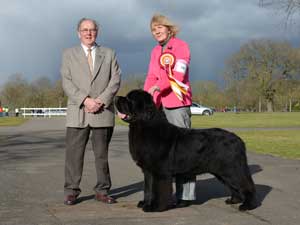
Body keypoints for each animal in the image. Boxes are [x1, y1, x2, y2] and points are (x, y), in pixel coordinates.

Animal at [115, 89, 258, 212]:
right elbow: (148, 189)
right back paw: (234, 200)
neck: (144, 126)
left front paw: (155, 207)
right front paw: (145, 203)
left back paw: (247, 205)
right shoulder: (148, 170)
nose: (116, 98)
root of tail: (239, 140)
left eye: (130, 99)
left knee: (246, 185)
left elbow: (159, 190)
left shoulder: (160, 172)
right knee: (233, 186)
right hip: (223, 171)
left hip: (232, 168)